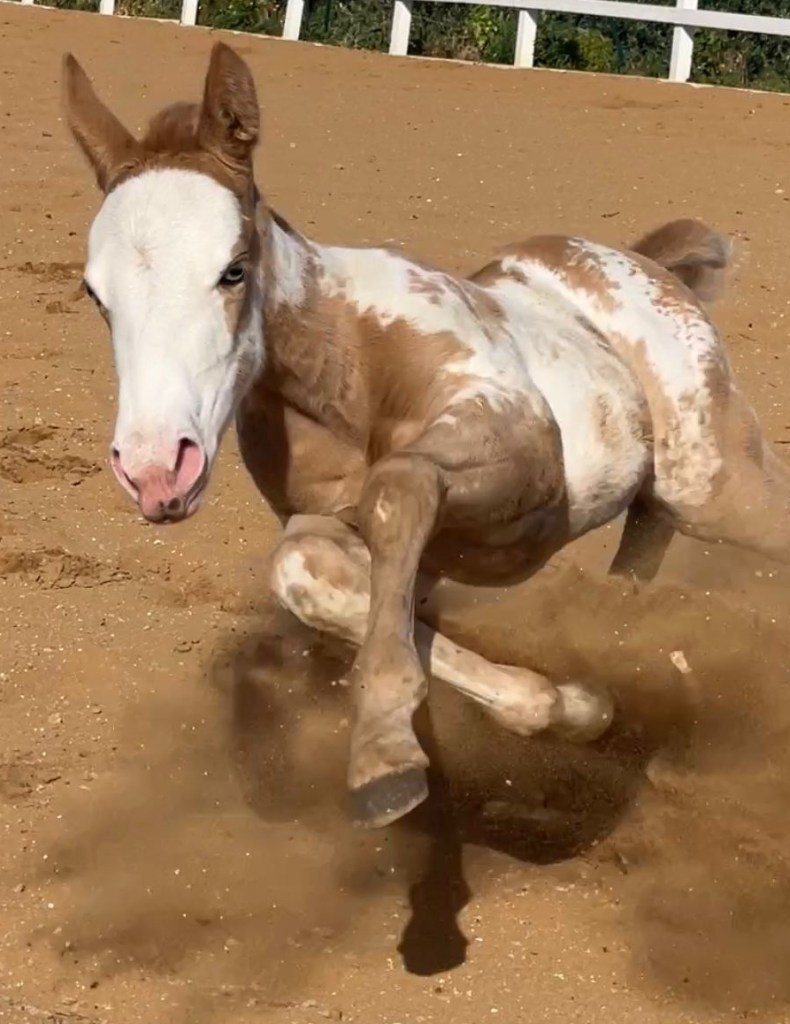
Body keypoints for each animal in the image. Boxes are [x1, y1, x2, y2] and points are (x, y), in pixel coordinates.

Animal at [61, 42, 790, 829]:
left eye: (233, 270)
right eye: (95, 293)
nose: (156, 468)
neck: (346, 371)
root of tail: (639, 258)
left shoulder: (520, 459)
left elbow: (399, 483)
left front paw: (382, 752)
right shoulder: (373, 546)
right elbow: (310, 573)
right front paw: (574, 705)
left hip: (713, 483)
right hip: (666, 495)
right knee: (640, 547)